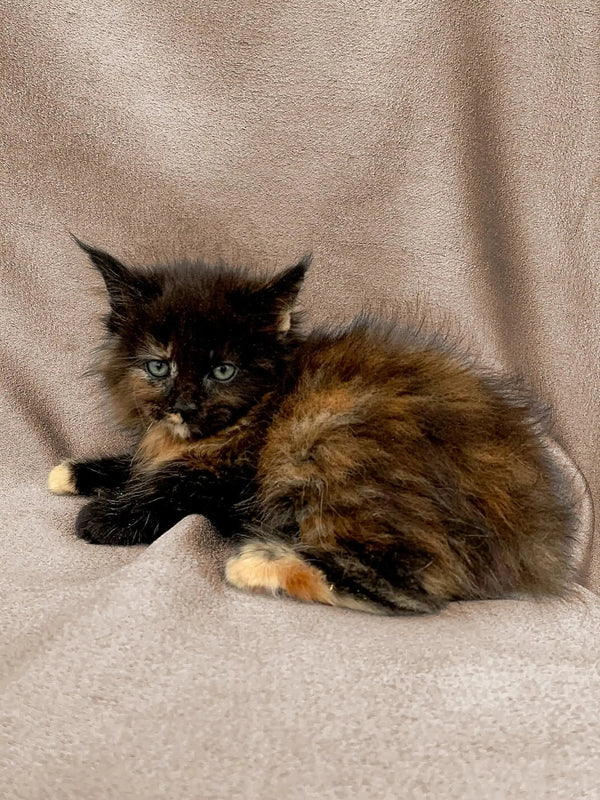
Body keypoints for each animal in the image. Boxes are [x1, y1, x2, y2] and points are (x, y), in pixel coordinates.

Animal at [48, 241, 576, 616]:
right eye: (159, 366)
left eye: (223, 371)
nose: (185, 405)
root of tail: (530, 538)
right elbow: (137, 464)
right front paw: (73, 472)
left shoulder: (230, 477)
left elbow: (169, 487)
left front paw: (102, 516)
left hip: (327, 443)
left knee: (416, 589)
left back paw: (258, 563)